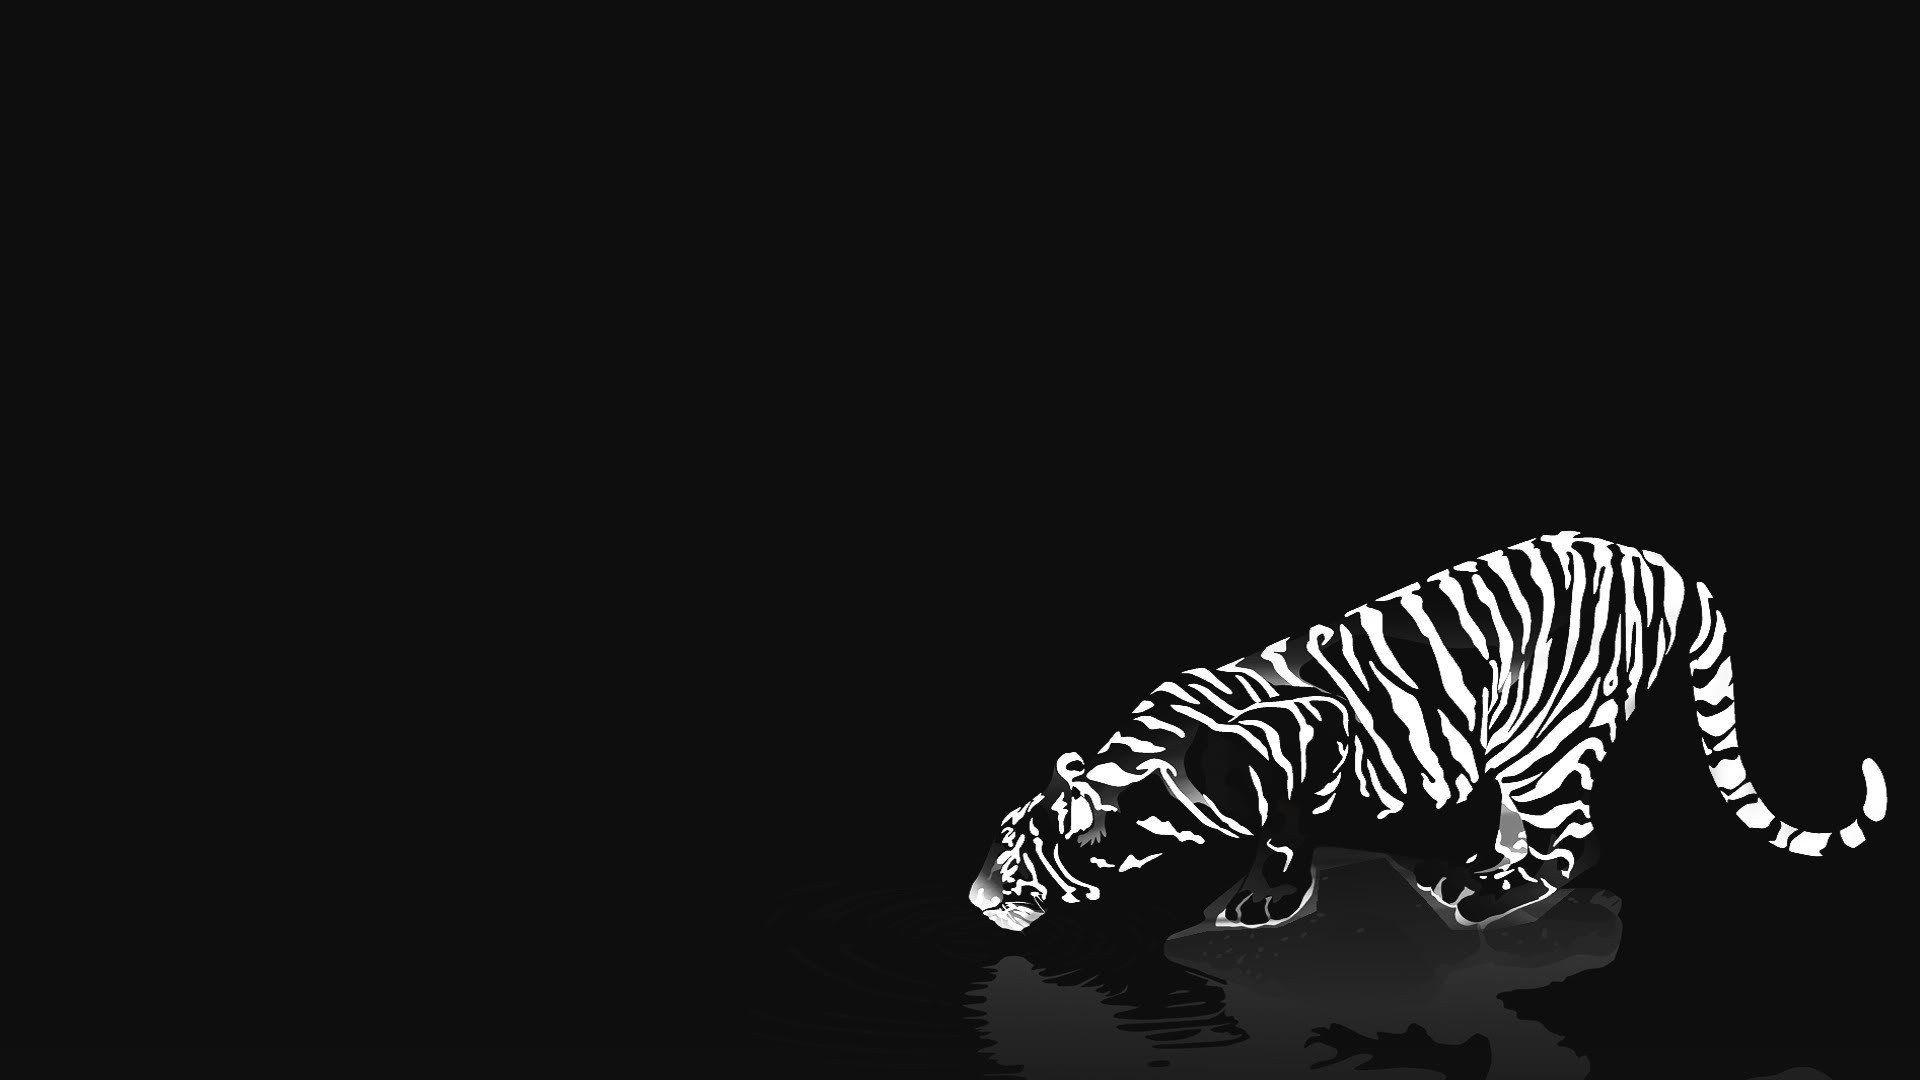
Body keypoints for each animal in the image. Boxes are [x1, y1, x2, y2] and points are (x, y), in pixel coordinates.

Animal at [969, 532, 1887, 933]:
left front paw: (1269, 900)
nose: (975, 901)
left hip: (1548, 745)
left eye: (1015, 857)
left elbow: (1283, 832)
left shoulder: (1312, 735)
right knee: (1528, 825)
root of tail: (1656, 560)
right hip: (1522, 741)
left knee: (1566, 843)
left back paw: (1490, 896)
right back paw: (1477, 867)